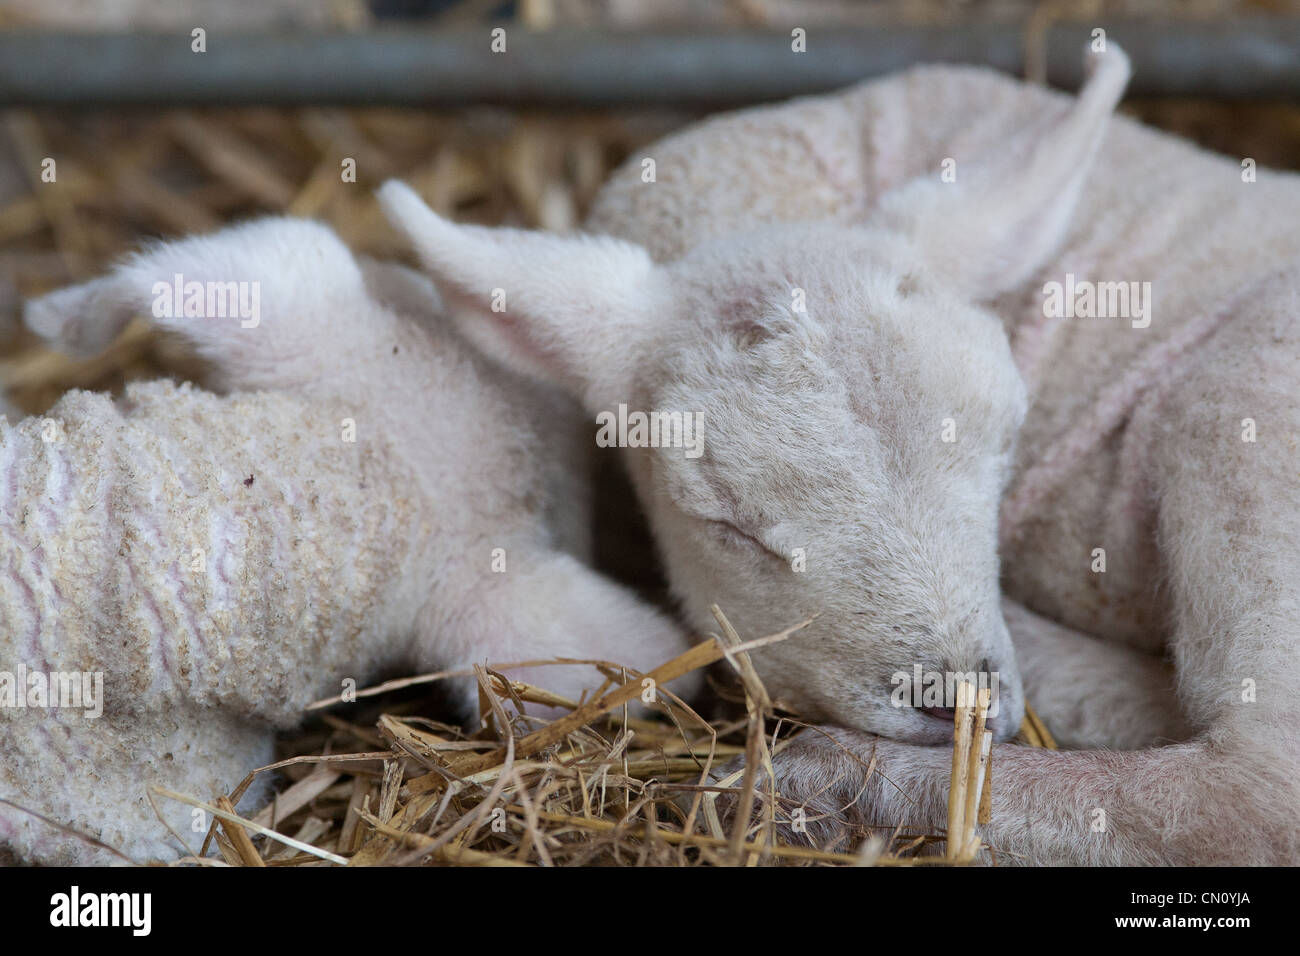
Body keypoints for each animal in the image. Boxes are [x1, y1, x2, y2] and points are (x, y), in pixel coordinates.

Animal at [377, 44, 1300, 865]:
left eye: (1008, 439)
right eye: (725, 523)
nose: (957, 705)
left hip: (1243, 404)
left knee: (1255, 794)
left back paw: (822, 781)